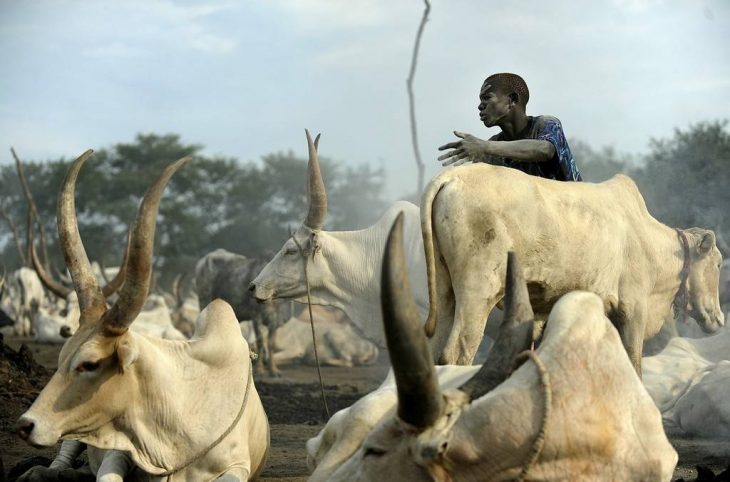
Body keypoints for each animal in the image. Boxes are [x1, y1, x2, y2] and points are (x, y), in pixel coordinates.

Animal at [14, 151, 270, 482]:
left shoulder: (237, 466)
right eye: (61, 359)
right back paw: (43, 471)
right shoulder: (119, 450)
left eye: (90, 364)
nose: (26, 425)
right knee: (62, 461)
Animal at [420, 162, 724, 370]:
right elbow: (633, 365)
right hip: (478, 293)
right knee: (457, 353)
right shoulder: (633, 308)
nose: (720, 319)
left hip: (446, 292)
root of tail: (451, 178)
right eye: (719, 264)